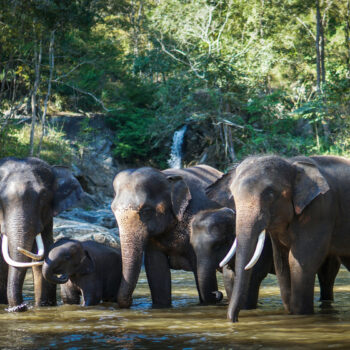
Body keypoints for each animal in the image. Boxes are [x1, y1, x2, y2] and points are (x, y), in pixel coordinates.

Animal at [220, 156, 344, 322]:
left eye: (270, 194)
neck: (291, 164)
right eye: (232, 196)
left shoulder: (320, 211)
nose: (234, 320)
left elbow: (300, 262)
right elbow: (281, 262)